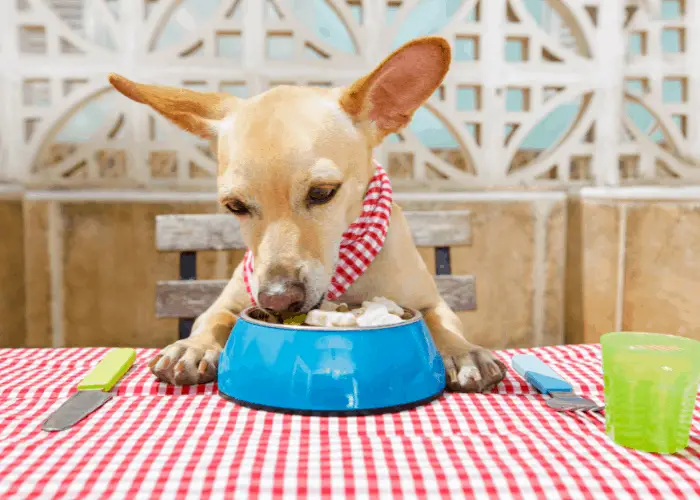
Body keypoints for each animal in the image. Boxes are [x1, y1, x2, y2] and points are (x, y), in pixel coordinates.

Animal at [110, 36, 508, 394]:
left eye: (322, 192)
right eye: (234, 206)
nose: (276, 299)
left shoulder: (432, 302)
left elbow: (440, 323)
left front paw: (462, 352)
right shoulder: (228, 301)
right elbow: (216, 318)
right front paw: (193, 347)